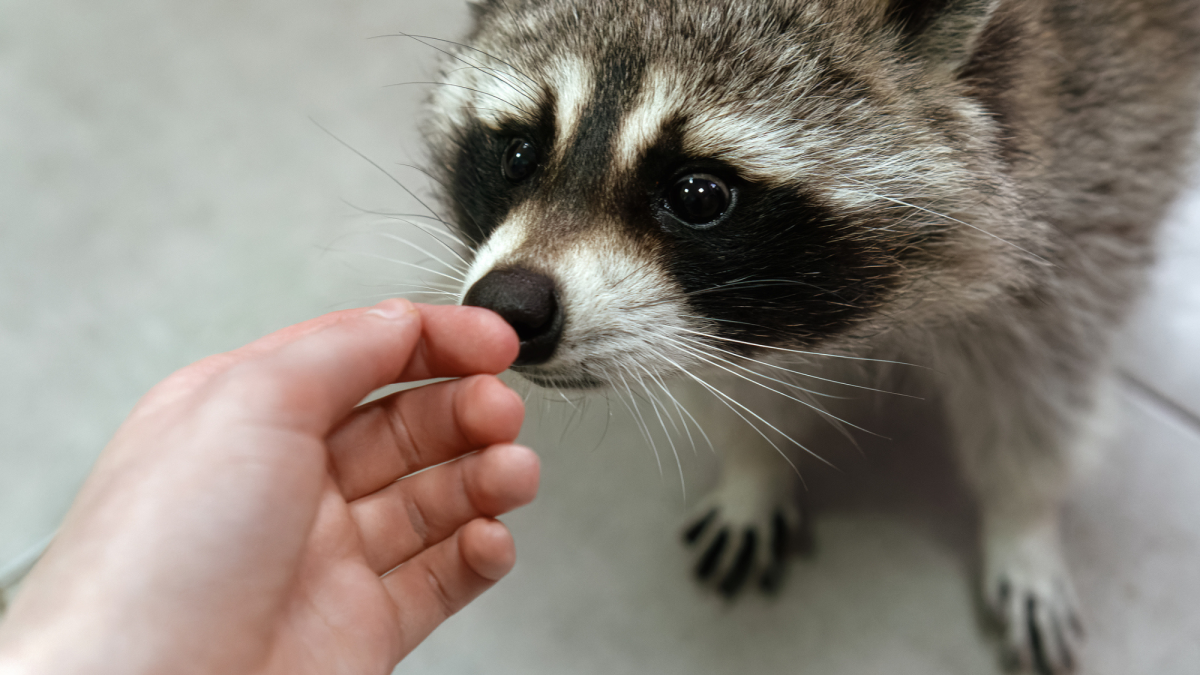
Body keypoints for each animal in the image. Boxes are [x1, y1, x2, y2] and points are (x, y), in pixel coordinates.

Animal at [419, 0, 1200, 671]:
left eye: (699, 193)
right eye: (519, 154)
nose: (507, 306)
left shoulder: (1099, 166)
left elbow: (1038, 391)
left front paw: (1024, 521)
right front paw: (754, 467)